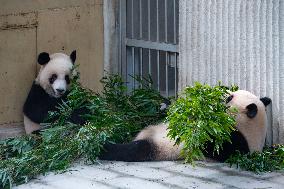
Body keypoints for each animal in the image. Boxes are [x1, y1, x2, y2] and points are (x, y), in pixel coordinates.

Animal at [99, 89, 270, 161]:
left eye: (229, 98)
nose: (214, 96)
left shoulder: (237, 142)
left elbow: (213, 145)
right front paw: (166, 105)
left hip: (161, 148)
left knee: (134, 150)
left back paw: (102, 146)